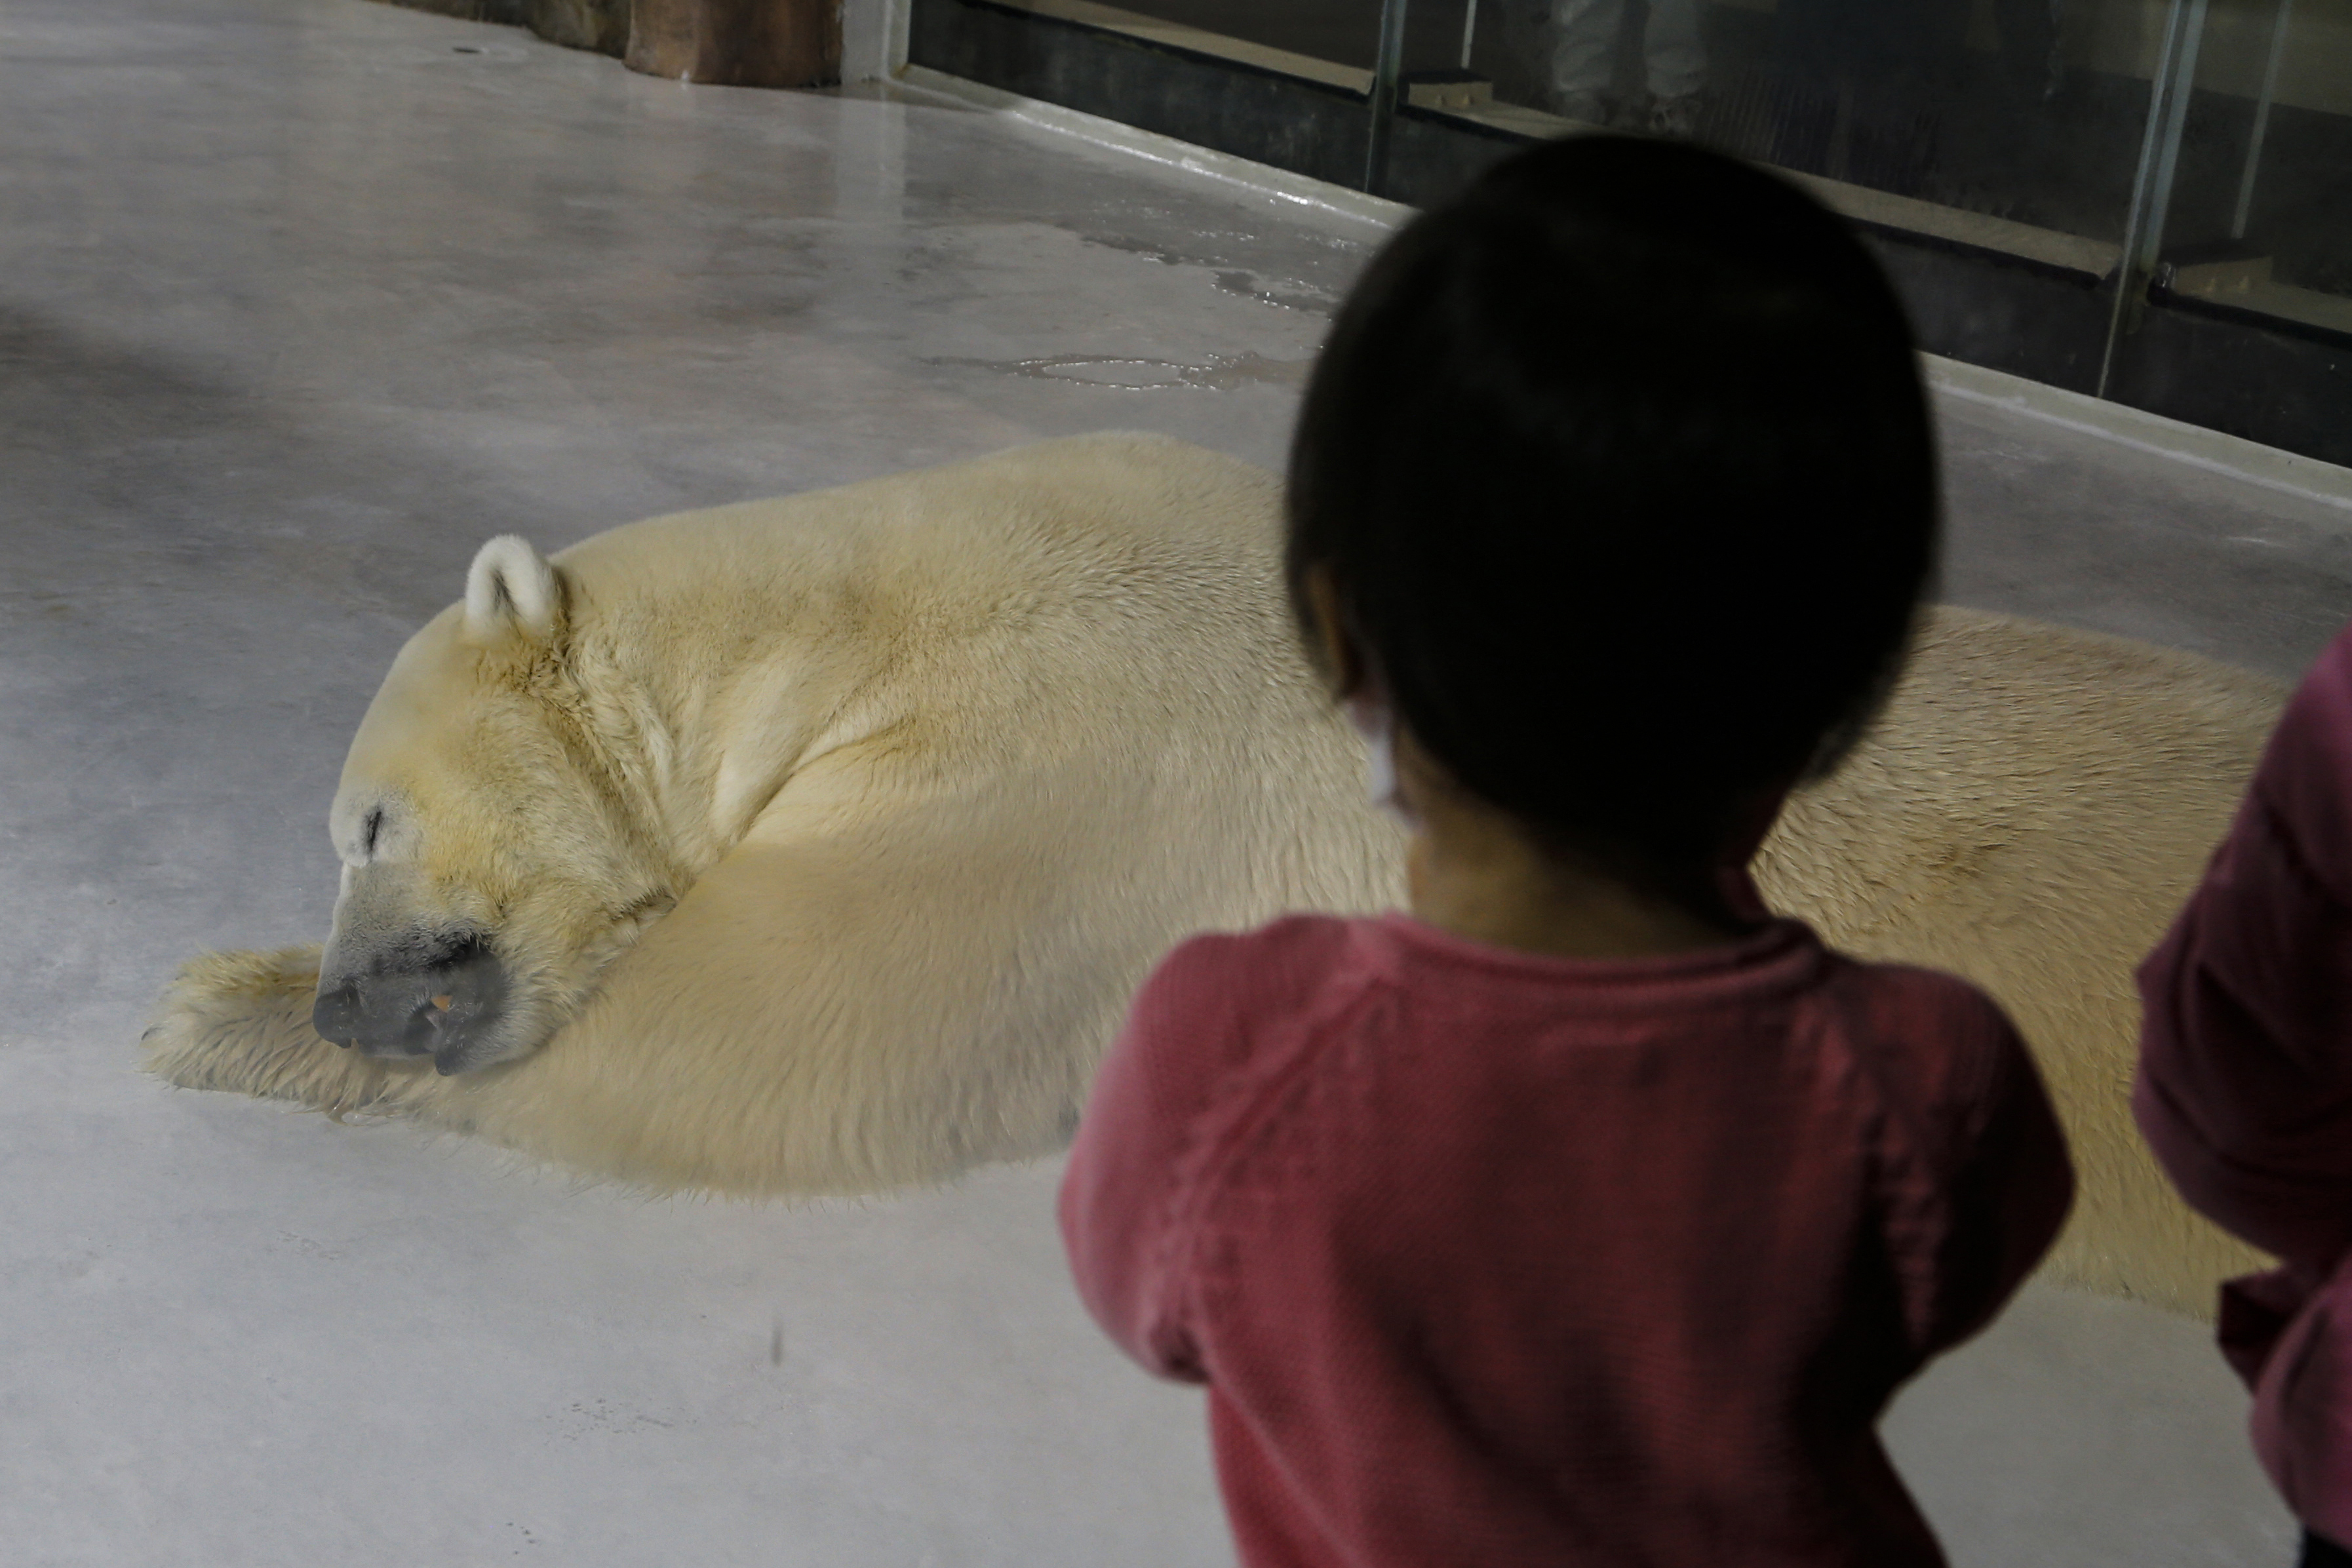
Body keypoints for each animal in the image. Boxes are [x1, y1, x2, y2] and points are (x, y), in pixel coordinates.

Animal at [142, 431, 2284, 1320]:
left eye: (363, 825)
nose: (347, 984)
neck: (854, 619)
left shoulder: (1053, 760)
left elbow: (771, 1037)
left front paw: (206, 1002)